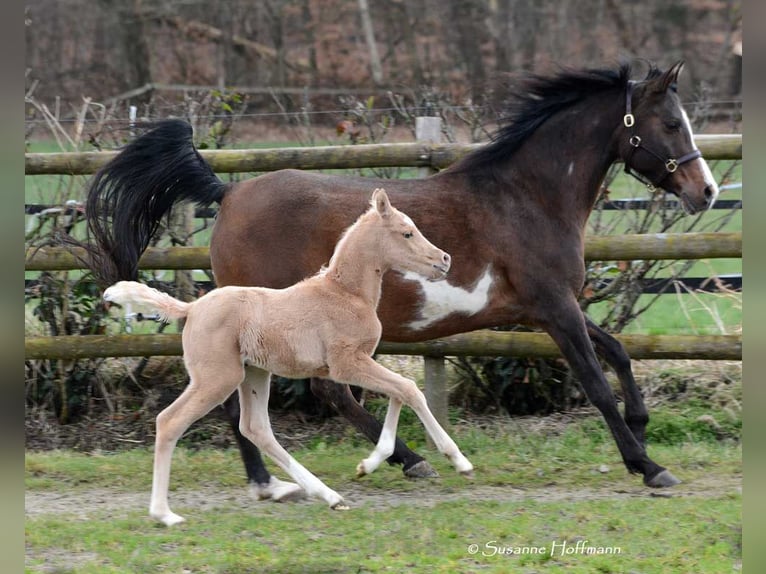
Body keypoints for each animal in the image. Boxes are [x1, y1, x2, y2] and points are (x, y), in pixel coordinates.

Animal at [102, 189, 474, 528]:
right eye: (407, 232)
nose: (444, 260)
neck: (346, 294)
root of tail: (191, 308)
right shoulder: (346, 364)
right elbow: (408, 389)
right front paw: (458, 461)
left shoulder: (359, 362)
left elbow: (398, 392)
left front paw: (370, 465)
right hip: (216, 379)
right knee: (170, 422)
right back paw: (164, 514)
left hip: (254, 374)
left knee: (255, 427)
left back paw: (327, 495)